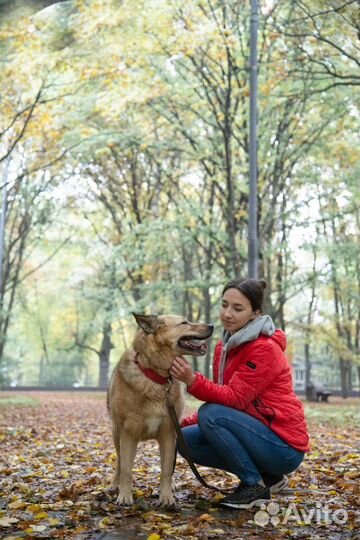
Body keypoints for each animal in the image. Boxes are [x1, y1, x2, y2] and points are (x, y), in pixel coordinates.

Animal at [107, 312, 214, 506]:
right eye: (184, 322)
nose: (212, 326)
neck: (157, 378)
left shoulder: (168, 434)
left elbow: (166, 470)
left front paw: (166, 497)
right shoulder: (128, 434)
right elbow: (126, 469)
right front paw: (124, 495)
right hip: (117, 434)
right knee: (119, 462)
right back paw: (114, 485)